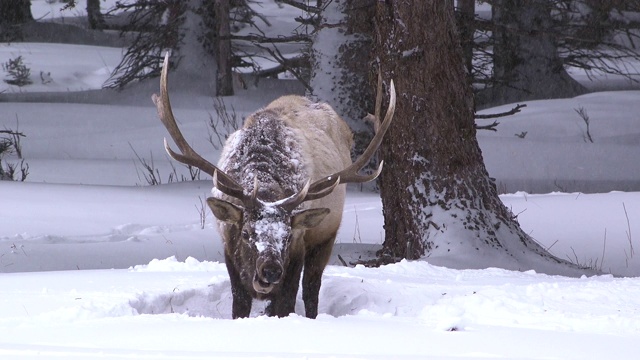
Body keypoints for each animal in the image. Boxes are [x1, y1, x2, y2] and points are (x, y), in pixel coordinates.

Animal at [155, 52, 396, 318]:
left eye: (287, 236)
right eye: (247, 233)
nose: (270, 271)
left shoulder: (298, 248)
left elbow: (287, 303)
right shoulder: (229, 247)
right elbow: (240, 305)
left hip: (326, 234)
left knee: (312, 288)